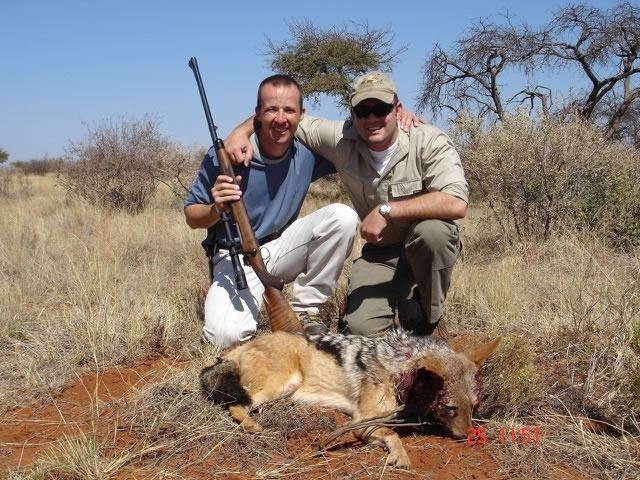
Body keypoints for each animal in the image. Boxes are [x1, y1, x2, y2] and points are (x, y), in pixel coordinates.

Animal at [200, 331, 500, 469]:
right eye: (449, 408)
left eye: (474, 408)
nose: (469, 436)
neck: (399, 370)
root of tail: (240, 347)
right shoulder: (362, 421)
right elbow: (394, 435)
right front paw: (401, 456)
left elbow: (392, 433)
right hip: (283, 383)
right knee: (235, 405)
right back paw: (252, 426)